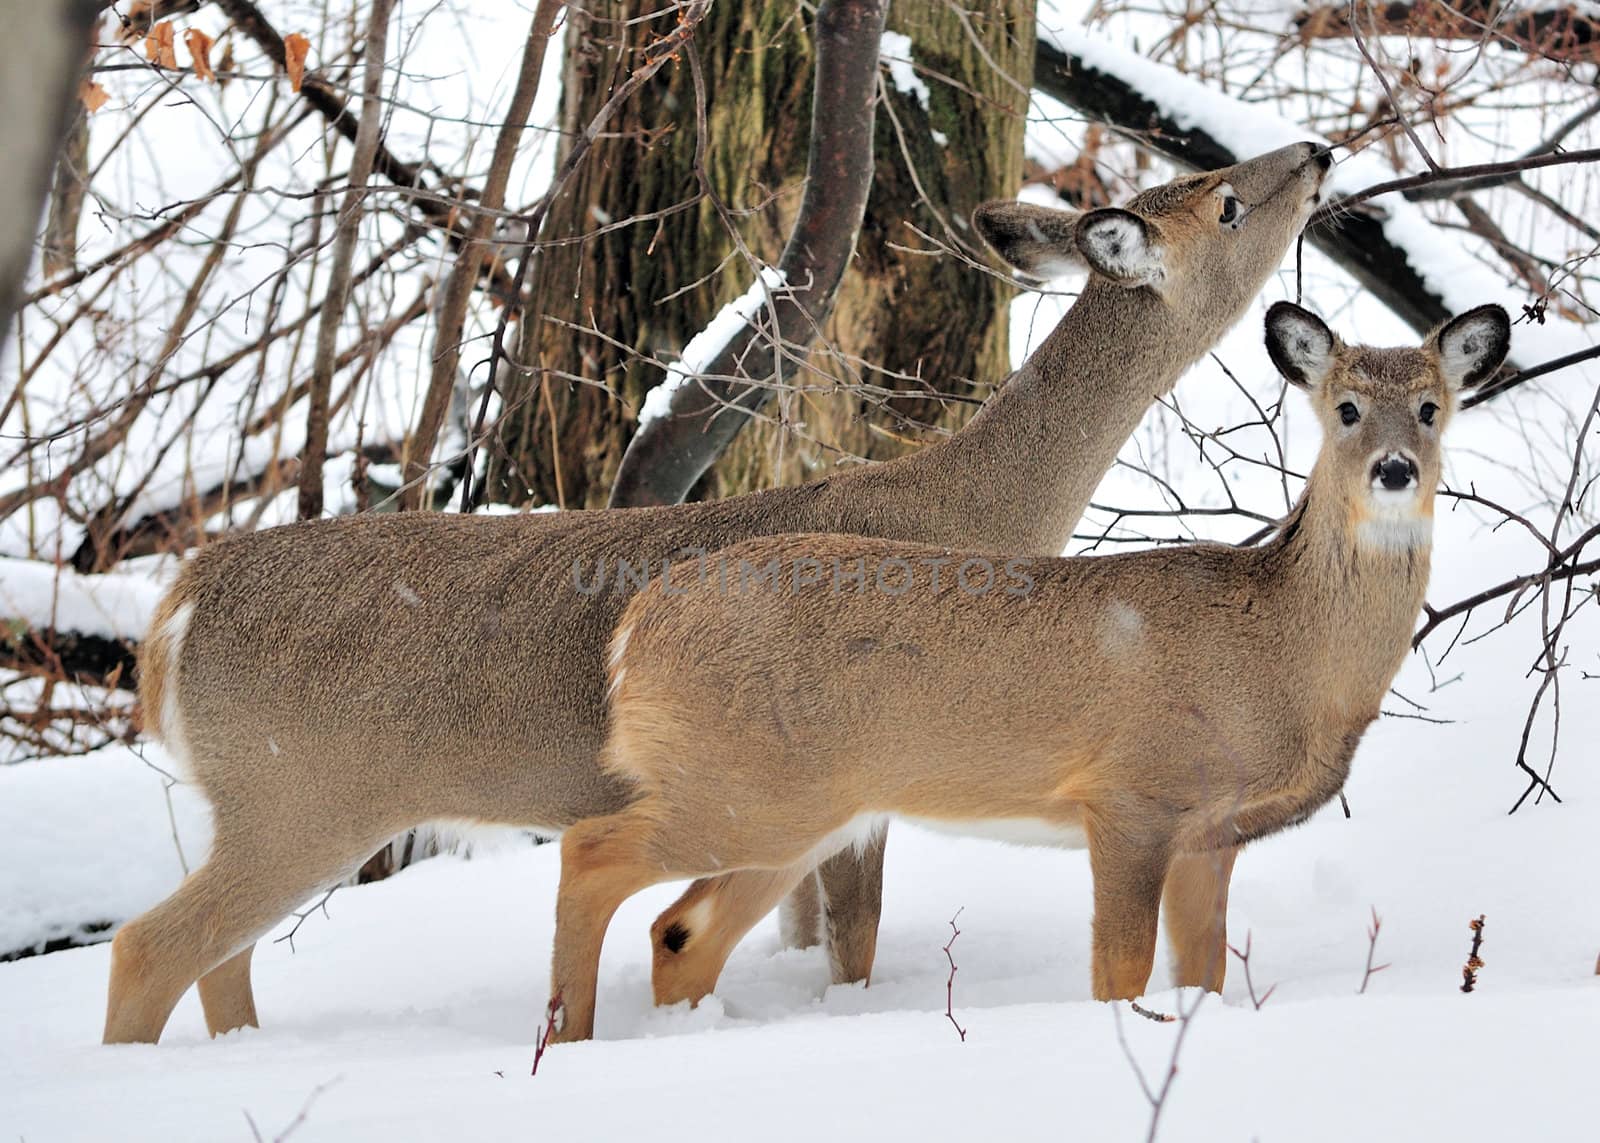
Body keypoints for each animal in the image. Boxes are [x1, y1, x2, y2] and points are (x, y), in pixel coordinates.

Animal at [109, 142, 1337, 1043]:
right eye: (1230, 203)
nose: (1319, 153)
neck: (974, 510)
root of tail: (175, 612)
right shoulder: (869, 776)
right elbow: (852, 937)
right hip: (302, 790)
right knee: (151, 946)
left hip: (261, 802)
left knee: (217, 960)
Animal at [544, 297, 1504, 1037]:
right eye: (1345, 407)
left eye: (1432, 406)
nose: (1393, 470)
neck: (1278, 649)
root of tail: (635, 628)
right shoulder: (1131, 795)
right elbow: (1120, 975)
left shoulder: (1211, 832)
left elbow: (1204, 977)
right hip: (742, 787)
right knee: (591, 854)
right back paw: (568, 1037)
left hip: (794, 806)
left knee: (680, 930)